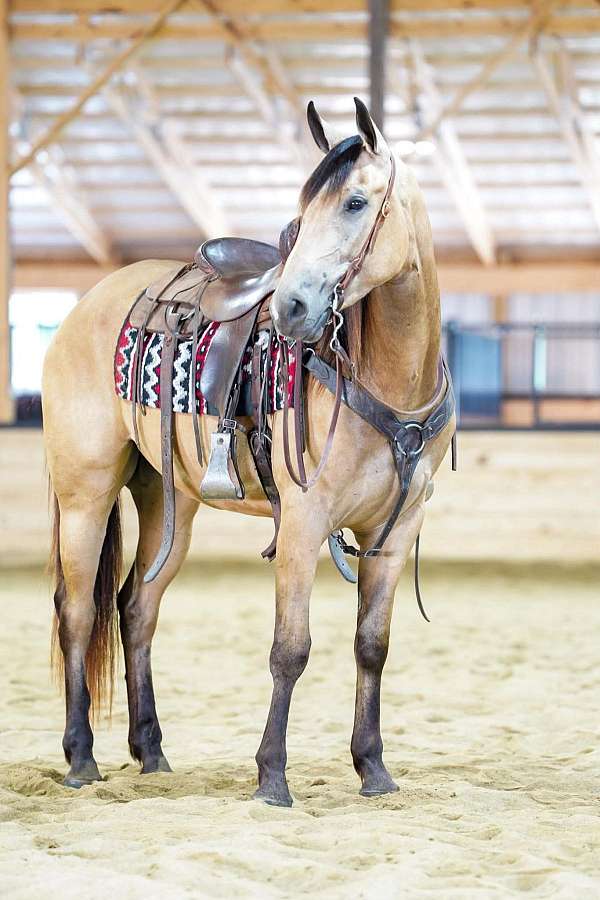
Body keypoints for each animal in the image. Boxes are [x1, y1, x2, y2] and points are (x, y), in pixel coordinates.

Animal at [42, 98, 455, 807]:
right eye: (304, 209)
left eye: (355, 203)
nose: (292, 306)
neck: (386, 377)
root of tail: (82, 310)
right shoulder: (303, 524)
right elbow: (291, 649)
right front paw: (272, 777)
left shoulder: (397, 530)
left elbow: (372, 646)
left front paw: (373, 768)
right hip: (85, 496)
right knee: (77, 611)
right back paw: (81, 757)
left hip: (169, 503)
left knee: (136, 610)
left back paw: (151, 752)